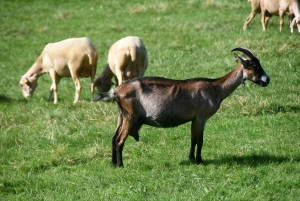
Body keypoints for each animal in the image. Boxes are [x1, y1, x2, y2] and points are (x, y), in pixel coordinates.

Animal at [95, 47, 270, 166]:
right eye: (253, 66)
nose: (267, 79)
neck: (215, 87)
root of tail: (116, 91)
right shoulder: (201, 117)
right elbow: (200, 140)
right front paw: (199, 160)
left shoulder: (194, 119)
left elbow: (193, 139)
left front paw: (191, 159)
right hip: (130, 116)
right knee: (119, 140)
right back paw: (121, 165)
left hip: (121, 115)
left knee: (114, 138)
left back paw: (112, 163)